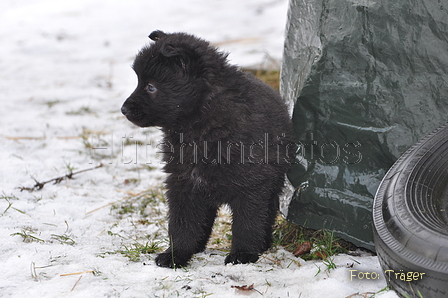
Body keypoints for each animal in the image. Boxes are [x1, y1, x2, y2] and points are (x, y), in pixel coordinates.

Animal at [122, 30, 296, 268]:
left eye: (151, 86)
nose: (123, 109)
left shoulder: (253, 184)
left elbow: (248, 223)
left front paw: (243, 254)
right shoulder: (184, 182)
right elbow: (182, 223)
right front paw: (176, 254)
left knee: (267, 213)